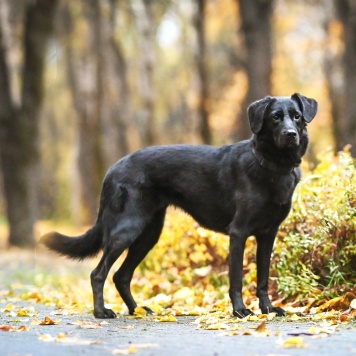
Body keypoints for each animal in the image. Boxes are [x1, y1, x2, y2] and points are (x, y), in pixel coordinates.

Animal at [41, 93, 318, 318]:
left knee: (121, 276)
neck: (271, 166)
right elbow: (237, 279)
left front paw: (268, 309)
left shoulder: (267, 235)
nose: (291, 134)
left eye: (296, 116)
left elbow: (263, 278)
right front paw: (240, 311)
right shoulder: (238, 233)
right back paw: (101, 312)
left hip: (149, 234)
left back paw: (136, 310)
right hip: (126, 231)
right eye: (275, 118)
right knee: (98, 273)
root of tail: (112, 169)